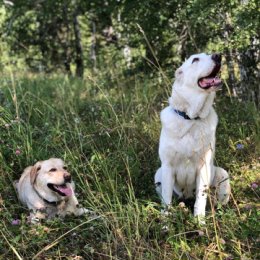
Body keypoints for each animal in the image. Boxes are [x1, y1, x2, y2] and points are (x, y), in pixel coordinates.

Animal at [154, 52, 230, 221]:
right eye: (195, 59)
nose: (218, 55)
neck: (191, 118)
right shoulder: (167, 167)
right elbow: (167, 200)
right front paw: (166, 222)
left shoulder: (204, 166)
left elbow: (200, 200)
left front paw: (199, 222)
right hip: (158, 174)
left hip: (223, 174)